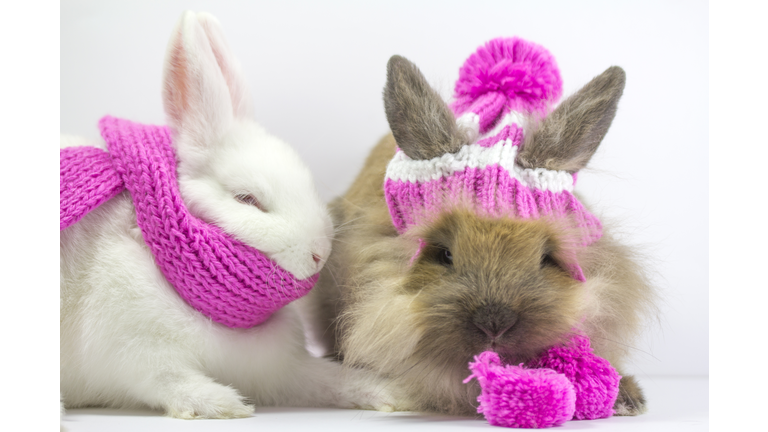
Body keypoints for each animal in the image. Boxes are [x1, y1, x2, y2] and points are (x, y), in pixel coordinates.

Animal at [61, 11, 390, 420]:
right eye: (247, 199)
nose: (319, 254)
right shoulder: (135, 352)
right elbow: (171, 382)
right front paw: (223, 404)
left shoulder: (282, 369)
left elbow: (326, 378)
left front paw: (387, 391)